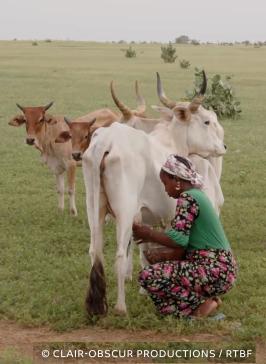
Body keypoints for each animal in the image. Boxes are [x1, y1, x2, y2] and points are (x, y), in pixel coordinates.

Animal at [81, 72, 227, 314]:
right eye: (206, 121)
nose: (223, 147)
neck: (172, 141)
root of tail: (107, 141)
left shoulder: (145, 219)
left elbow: (145, 249)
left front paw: (143, 291)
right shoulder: (168, 215)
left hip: (94, 208)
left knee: (95, 250)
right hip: (124, 211)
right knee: (119, 254)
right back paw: (121, 307)